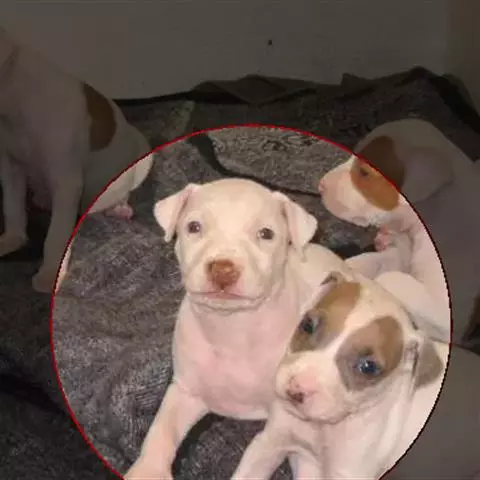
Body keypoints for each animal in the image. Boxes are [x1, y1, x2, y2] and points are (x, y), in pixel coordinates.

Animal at [0, 28, 153, 292]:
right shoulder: (11, 167)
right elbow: (13, 207)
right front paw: (12, 239)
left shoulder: (66, 182)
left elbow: (57, 234)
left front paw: (50, 274)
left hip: (143, 155)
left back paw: (118, 207)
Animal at [125, 178, 363, 479]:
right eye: (194, 227)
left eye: (266, 234)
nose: (223, 269)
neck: (232, 327)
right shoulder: (185, 391)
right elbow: (162, 428)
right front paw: (147, 471)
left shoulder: (285, 417)